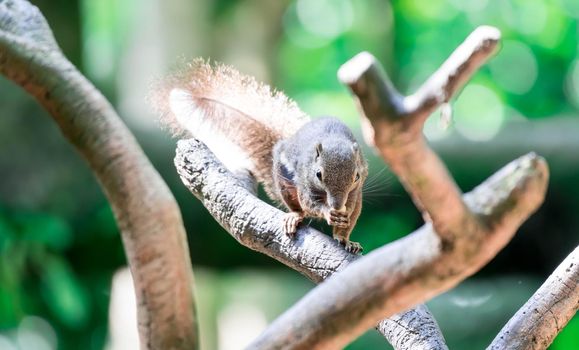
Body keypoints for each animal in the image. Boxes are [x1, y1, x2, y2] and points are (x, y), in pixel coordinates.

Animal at [154, 58, 370, 253]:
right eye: (318, 175)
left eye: (356, 176)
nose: (337, 205)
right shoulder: (304, 180)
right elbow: (310, 203)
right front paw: (327, 211)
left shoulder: (355, 190)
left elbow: (350, 207)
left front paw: (342, 223)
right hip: (283, 183)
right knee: (298, 208)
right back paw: (295, 216)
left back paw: (345, 240)